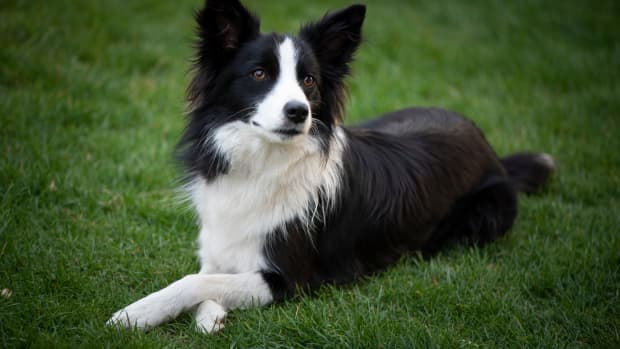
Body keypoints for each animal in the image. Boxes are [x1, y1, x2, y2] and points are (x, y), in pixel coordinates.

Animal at [105, 0, 552, 332]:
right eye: (259, 73)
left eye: (309, 81)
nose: (298, 112)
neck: (264, 162)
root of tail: (487, 145)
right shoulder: (220, 243)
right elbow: (209, 275)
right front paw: (207, 316)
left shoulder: (290, 278)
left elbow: (195, 280)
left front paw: (134, 314)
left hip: (486, 215)